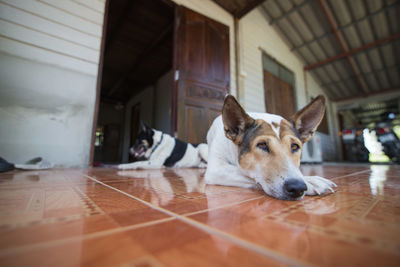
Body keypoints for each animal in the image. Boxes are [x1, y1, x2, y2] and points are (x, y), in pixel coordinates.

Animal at [205, 94, 336, 201]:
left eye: (294, 146)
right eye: (262, 145)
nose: (297, 187)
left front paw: (309, 179)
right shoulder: (216, 169)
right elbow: (246, 173)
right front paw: (311, 182)